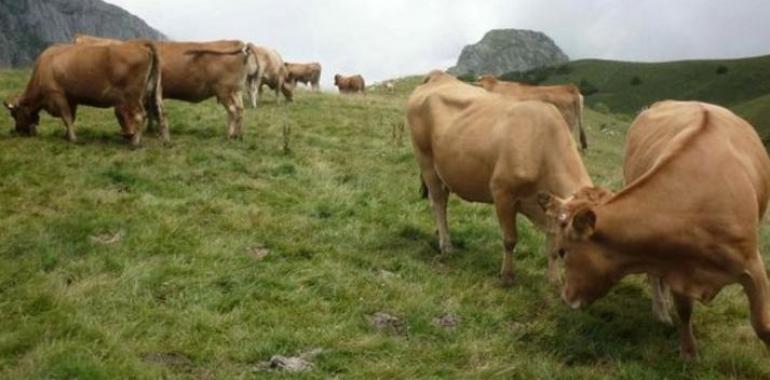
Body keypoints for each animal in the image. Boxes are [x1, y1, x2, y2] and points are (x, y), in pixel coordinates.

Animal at [3, 40, 164, 146]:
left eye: (13, 114)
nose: (16, 131)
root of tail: (140, 44)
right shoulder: (71, 98)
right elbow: (71, 118)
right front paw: (66, 135)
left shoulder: (57, 95)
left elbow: (66, 117)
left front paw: (73, 139)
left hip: (133, 96)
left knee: (139, 115)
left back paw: (135, 142)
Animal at [74, 35, 255, 139]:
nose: (126, 135)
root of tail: (238, 43)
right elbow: (151, 112)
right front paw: (151, 130)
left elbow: (151, 112)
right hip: (236, 91)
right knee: (240, 110)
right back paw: (239, 135)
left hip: (224, 90)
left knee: (233, 110)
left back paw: (229, 135)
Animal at [404, 70, 592, 284]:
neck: (543, 146)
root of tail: (438, 76)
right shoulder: (502, 193)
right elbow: (510, 239)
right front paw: (507, 275)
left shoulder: (550, 208)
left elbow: (552, 245)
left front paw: (553, 279)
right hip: (425, 160)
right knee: (437, 201)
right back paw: (446, 244)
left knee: (441, 200)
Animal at [536, 100, 768, 356]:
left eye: (563, 252)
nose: (565, 298)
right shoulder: (678, 267)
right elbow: (684, 310)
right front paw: (688, 352)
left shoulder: (753, 266)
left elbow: (763, 326)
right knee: (655, 278)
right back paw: (661, 310)